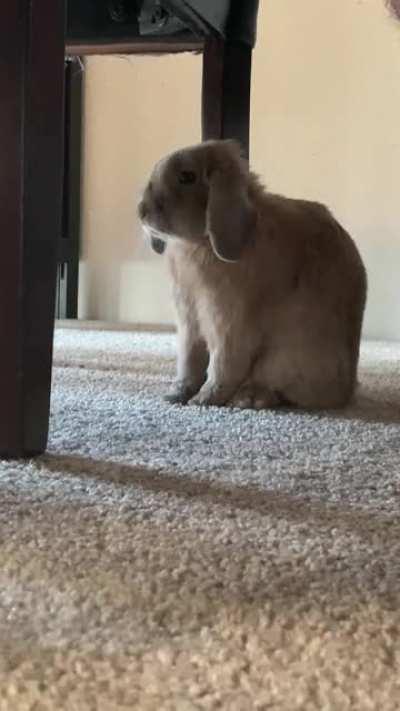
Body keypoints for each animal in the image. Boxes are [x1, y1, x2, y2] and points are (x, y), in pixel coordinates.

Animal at [138, 139, 367, 410]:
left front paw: (203, 399)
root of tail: (346, 390)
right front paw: (176, 395)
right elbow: (189, 360)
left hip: (283, 359)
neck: (199, 243)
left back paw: (248, 398)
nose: (141, 211)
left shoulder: (229, 323)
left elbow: (223, 365)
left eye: (187, 176)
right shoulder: (188, 321)